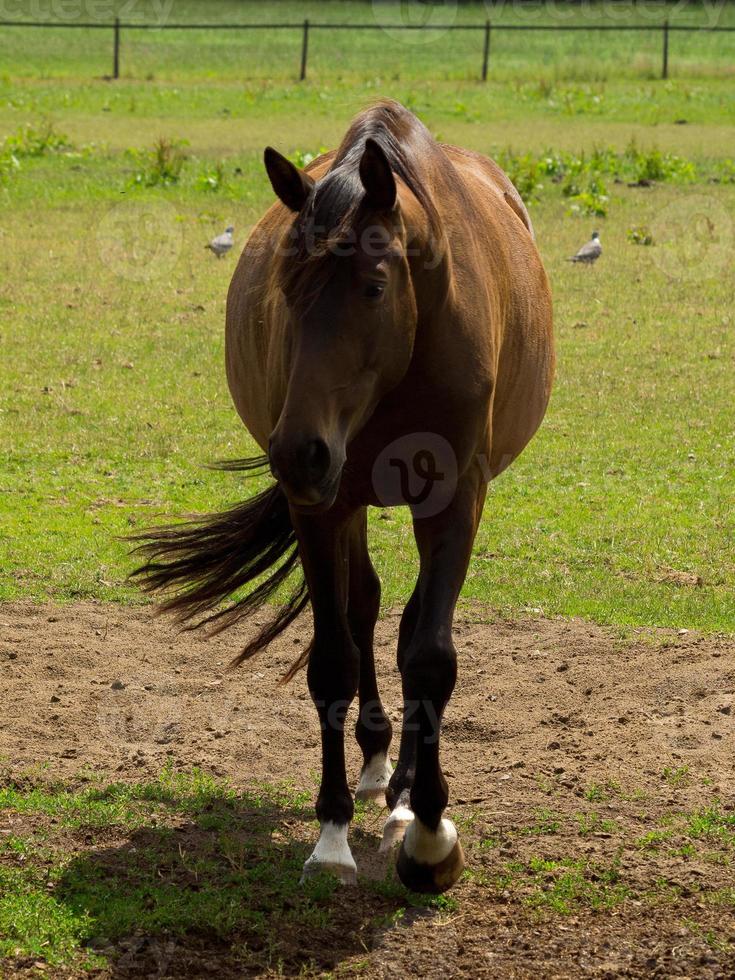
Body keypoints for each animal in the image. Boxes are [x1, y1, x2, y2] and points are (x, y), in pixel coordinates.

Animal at [135, 101, 556, 896]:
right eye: (284, 285)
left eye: (374, 286)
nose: (296, 450)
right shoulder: (321, 505)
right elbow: (333, 654)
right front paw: (331, 833)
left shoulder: (454, 499)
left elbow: (430, 655)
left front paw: (430, 836)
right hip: (345, 496)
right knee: (364, 607)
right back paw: (375, 764)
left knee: (409, 624)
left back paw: (402, 793)